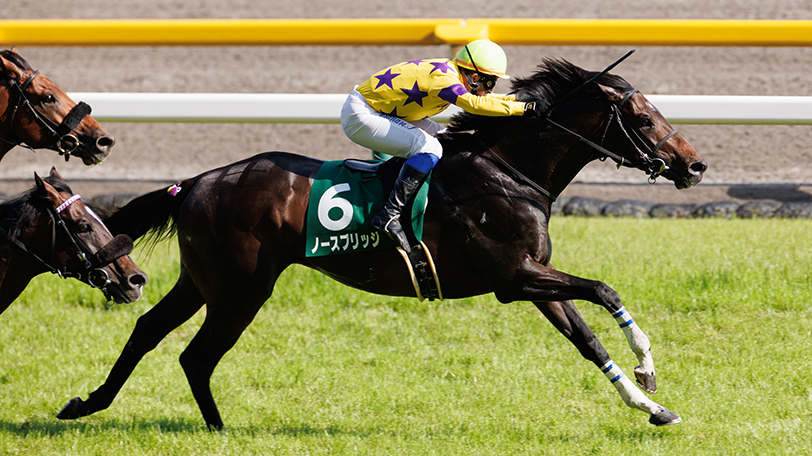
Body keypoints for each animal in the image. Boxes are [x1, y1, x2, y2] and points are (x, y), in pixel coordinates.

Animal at [56, 57, 707, 430]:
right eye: (643, 119)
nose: (695, 166)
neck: (508, 171)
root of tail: (196, 181)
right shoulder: (513, 277)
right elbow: (605, 289)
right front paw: (648, 367)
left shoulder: (532, 279)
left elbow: (588, 339)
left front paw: (651, 404)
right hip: (241, 290)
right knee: (196, 354)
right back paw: (218, 429)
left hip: (203, 280)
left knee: (150, 332)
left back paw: (88, 403)